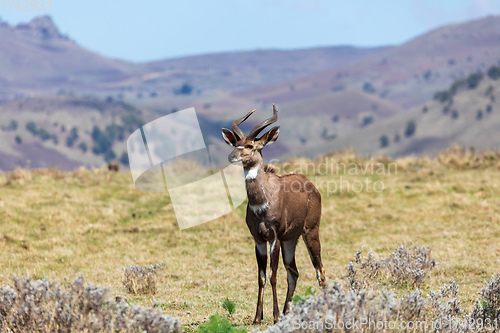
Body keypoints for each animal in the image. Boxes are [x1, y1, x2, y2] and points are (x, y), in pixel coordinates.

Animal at [221, 105, 326, 322]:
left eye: (251, 145)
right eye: (236, 143)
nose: (232, 156)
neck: (262, 202)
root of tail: (312, 187)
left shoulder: (274, 237)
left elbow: (273, 275)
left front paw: (275, 315)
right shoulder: (259, 240)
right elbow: (261, 277)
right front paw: (257, 317)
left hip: (310, 231)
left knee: (319, 269)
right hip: (290, 239)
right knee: (294, 272)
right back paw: (287, 312)